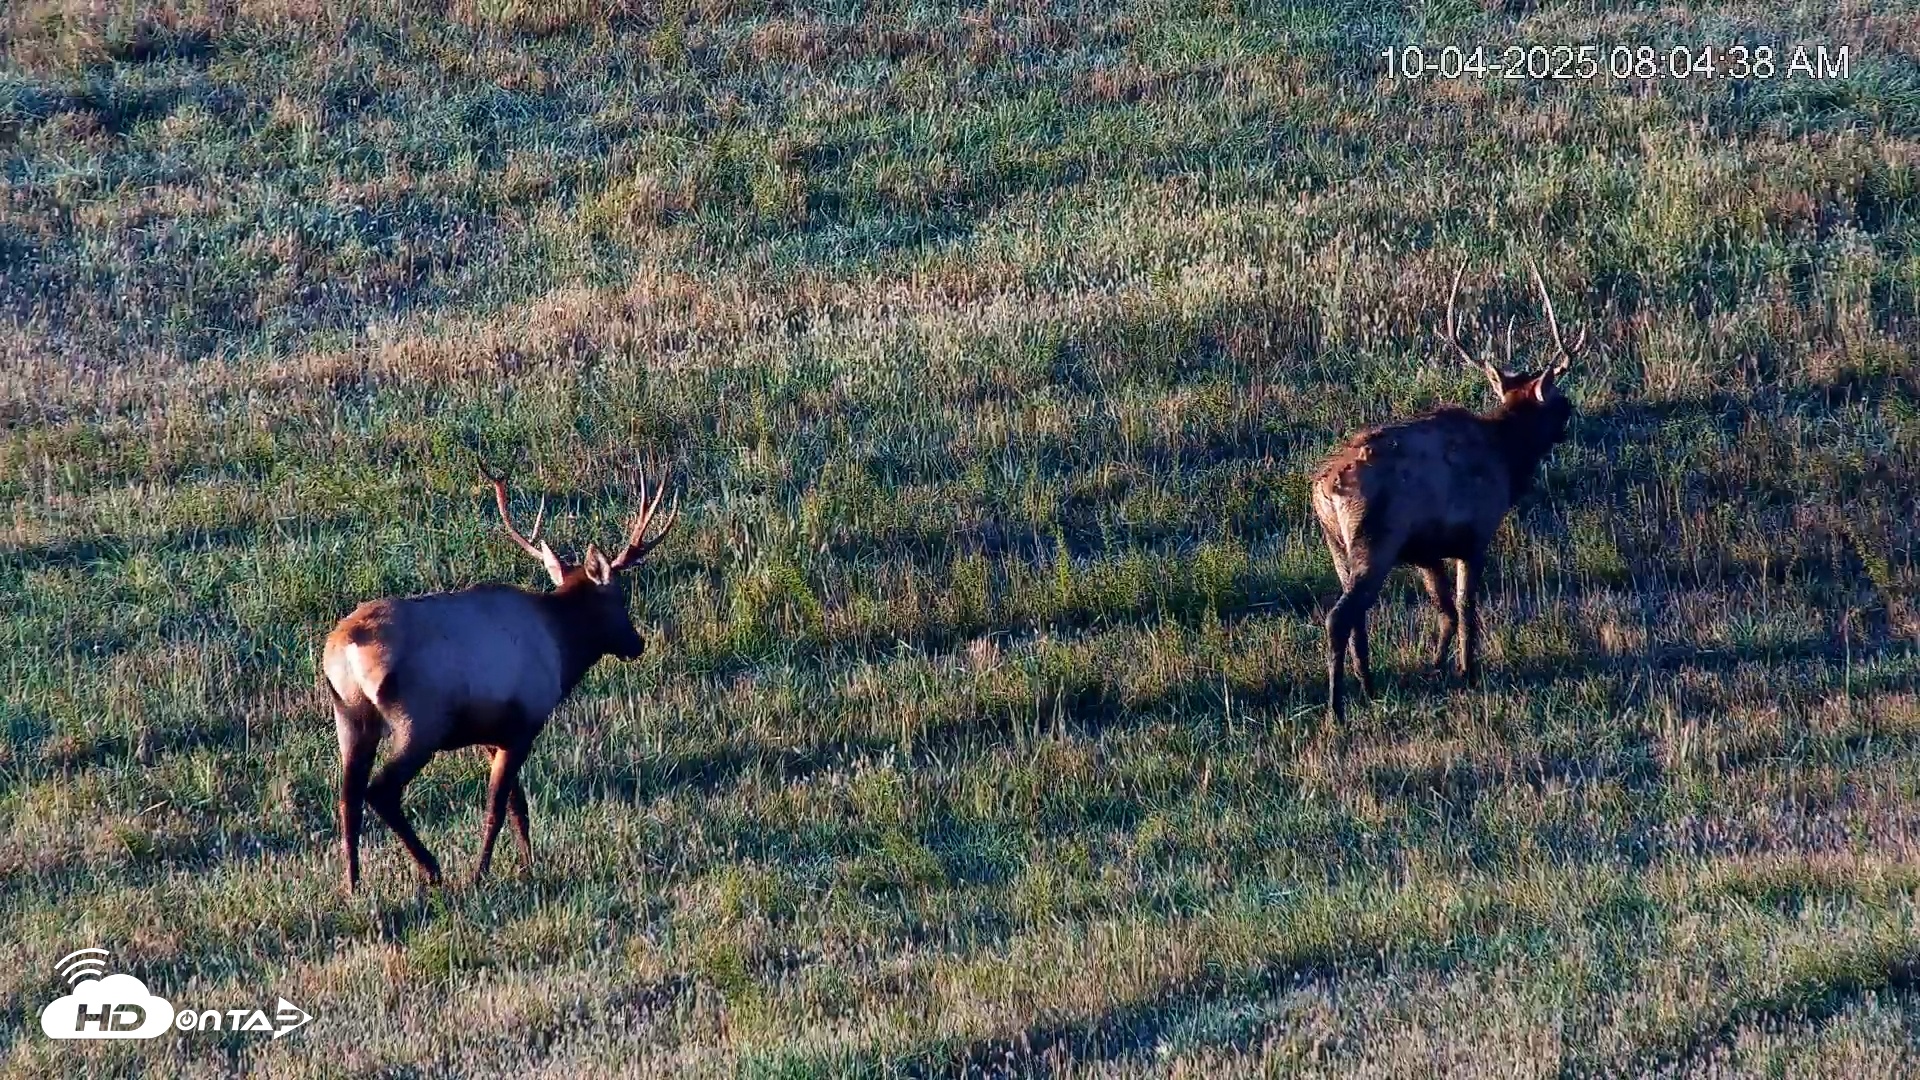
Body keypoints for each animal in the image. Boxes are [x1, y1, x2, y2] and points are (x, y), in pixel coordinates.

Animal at [322, 464, 679, 891]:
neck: (563, 649)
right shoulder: (522, 724)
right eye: (619, 597)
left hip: (350, 714)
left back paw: (353, 883)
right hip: (420, 721)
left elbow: (517, 806)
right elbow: (497, 807)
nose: (636, 643)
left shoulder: (492, 735)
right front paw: (484, 871)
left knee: (348, 797)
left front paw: (528, 864)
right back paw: (431, 868)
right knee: (381, 791)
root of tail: (345, 646)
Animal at [1310, 258, 1589, 725]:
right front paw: (1467, 670)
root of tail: (1325, 489)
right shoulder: (1474, 534)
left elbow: (1442, 609)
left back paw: (1368, 686)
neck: (1508, 459)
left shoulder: (1426, 550)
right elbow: (1465, 607)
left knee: (1357, 615)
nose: (1569, 416)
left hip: (1336, 544)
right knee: (1340, 616)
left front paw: (1436, 665)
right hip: (1376, 539)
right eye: (1558, 400)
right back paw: (1337, 707)